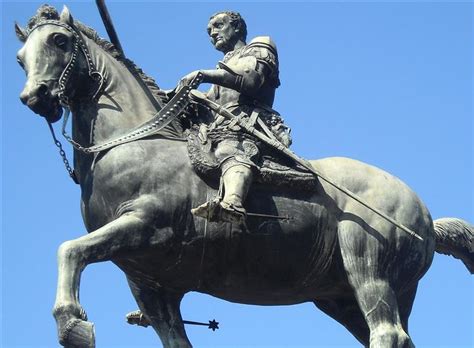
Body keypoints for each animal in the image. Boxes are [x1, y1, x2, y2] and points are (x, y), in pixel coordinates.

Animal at [16, 6, 472, 348]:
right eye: (20, 57)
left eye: (58, 41)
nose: (34, 97)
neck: (137, 142)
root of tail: (425, 216)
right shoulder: (149, 283)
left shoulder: (144, 226)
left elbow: (69, 250)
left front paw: (72, 324)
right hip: (345, 297)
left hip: (369, 268)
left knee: (387, 333)